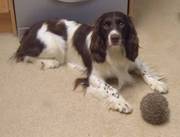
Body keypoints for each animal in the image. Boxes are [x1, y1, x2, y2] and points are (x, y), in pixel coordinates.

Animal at [14, 11, 168, 113]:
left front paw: (158, 84)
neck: (114, 53)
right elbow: (110, 88)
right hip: (54, 44)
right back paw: (50, 63)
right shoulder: (93, 77)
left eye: (121, 24)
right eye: (106, 25)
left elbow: (145, 71)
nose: (115, 38)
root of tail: (30, 29)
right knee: (23, 55)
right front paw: (121, 102)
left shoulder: (133, 60)